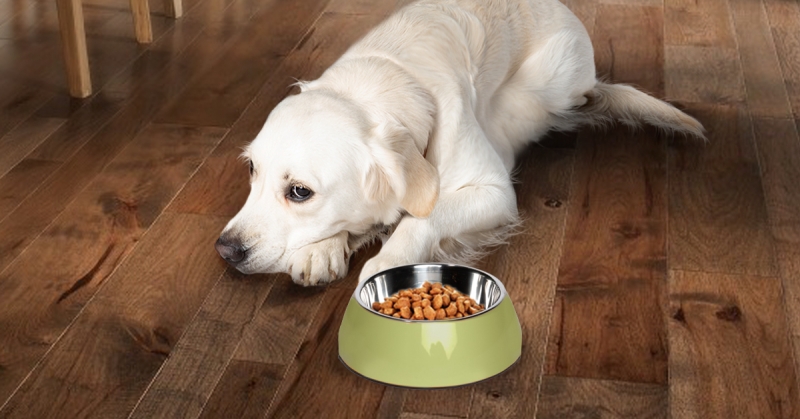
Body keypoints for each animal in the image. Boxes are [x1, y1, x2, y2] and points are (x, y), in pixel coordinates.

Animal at [216, 0, 704, 288]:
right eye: (253, 170)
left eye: (300, 191)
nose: (226, 249)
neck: (389, 77)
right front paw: (323, 247)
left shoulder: (494, 193)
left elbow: (420, 219)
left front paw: (387, 261)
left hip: (544, 87)